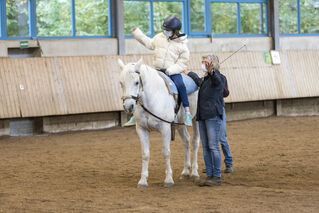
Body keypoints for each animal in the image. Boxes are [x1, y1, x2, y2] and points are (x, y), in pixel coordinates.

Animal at [119, 58, 199, 188]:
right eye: (121, 83)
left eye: (136, 82)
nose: (128, 106)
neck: (153, 98)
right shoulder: (141, 130)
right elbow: (145, 154)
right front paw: (143, 180)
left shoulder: (165, 128)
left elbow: (166, 152)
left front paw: (168, 180)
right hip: (179, 124)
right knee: (186, 141)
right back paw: (186, 172)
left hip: (196, 120)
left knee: (195, 142)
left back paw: (195, 173)